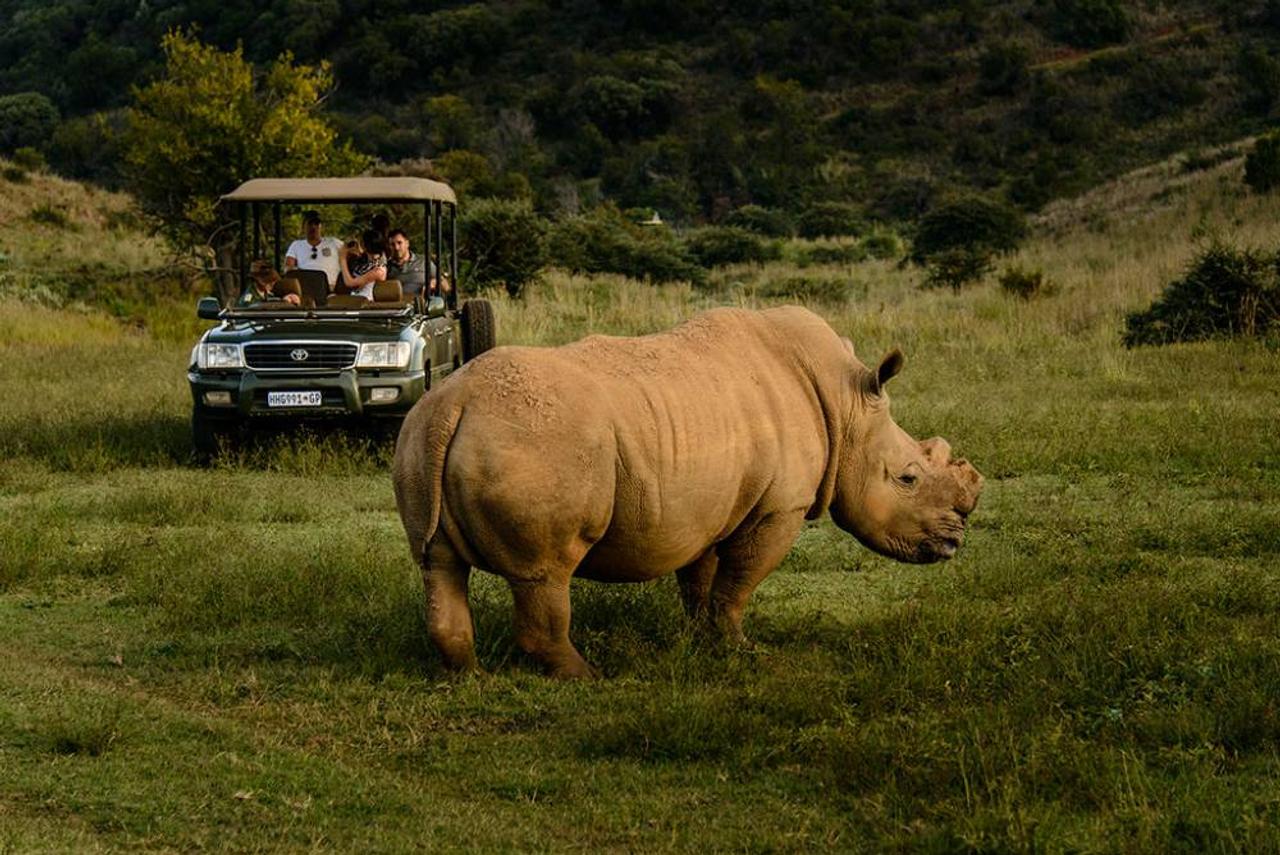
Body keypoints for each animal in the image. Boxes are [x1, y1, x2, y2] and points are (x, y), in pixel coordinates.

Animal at [393, 306, 983, 678]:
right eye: (908, 478)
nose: (955, 538)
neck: (846, 405)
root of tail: (453, 404)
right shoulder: (779, 508)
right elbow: (739, 581)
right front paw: (740, 649)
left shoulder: (710, 506)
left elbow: (701, 580)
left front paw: (700, 640)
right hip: (536, 446)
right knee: (546, 571)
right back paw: (586, 676)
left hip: (417, 442)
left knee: (437, 563)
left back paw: (468, 676)